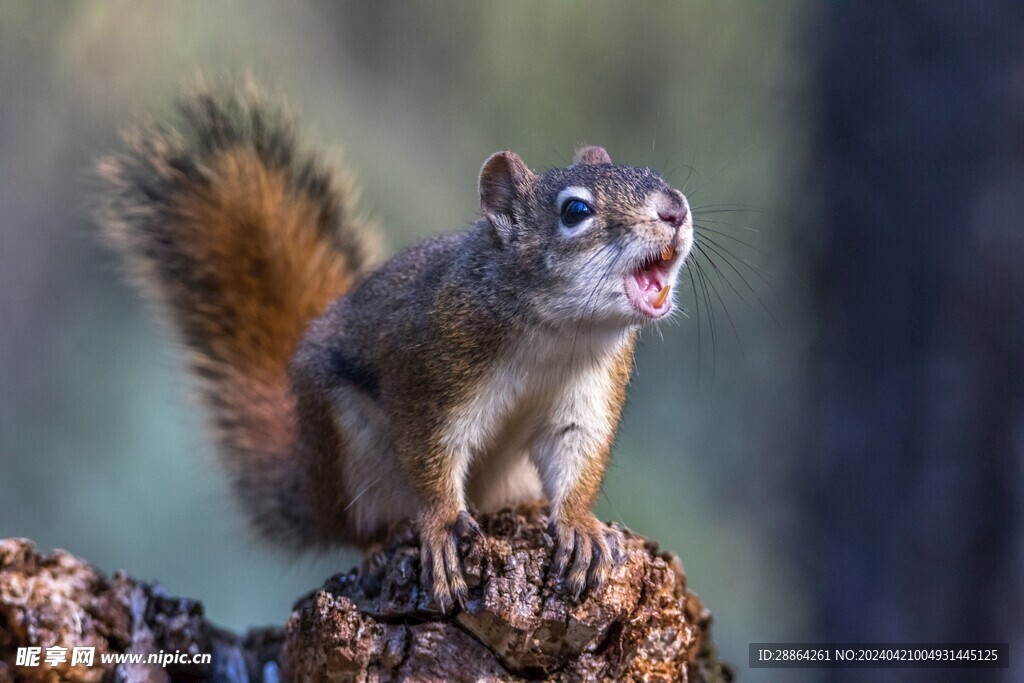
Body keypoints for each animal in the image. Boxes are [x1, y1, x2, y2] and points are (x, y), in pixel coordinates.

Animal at [96, 87, 696, 614]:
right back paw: (383, 542)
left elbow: (577, 451)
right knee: (358, 527)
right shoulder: (431, 371)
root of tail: (311, 488)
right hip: (349, 448)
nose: (675, 210)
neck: (557, 330)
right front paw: (441, 524)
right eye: (574, 211)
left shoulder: (589, 390)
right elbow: (431, 450)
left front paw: (579, 525)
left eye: (654, 178)